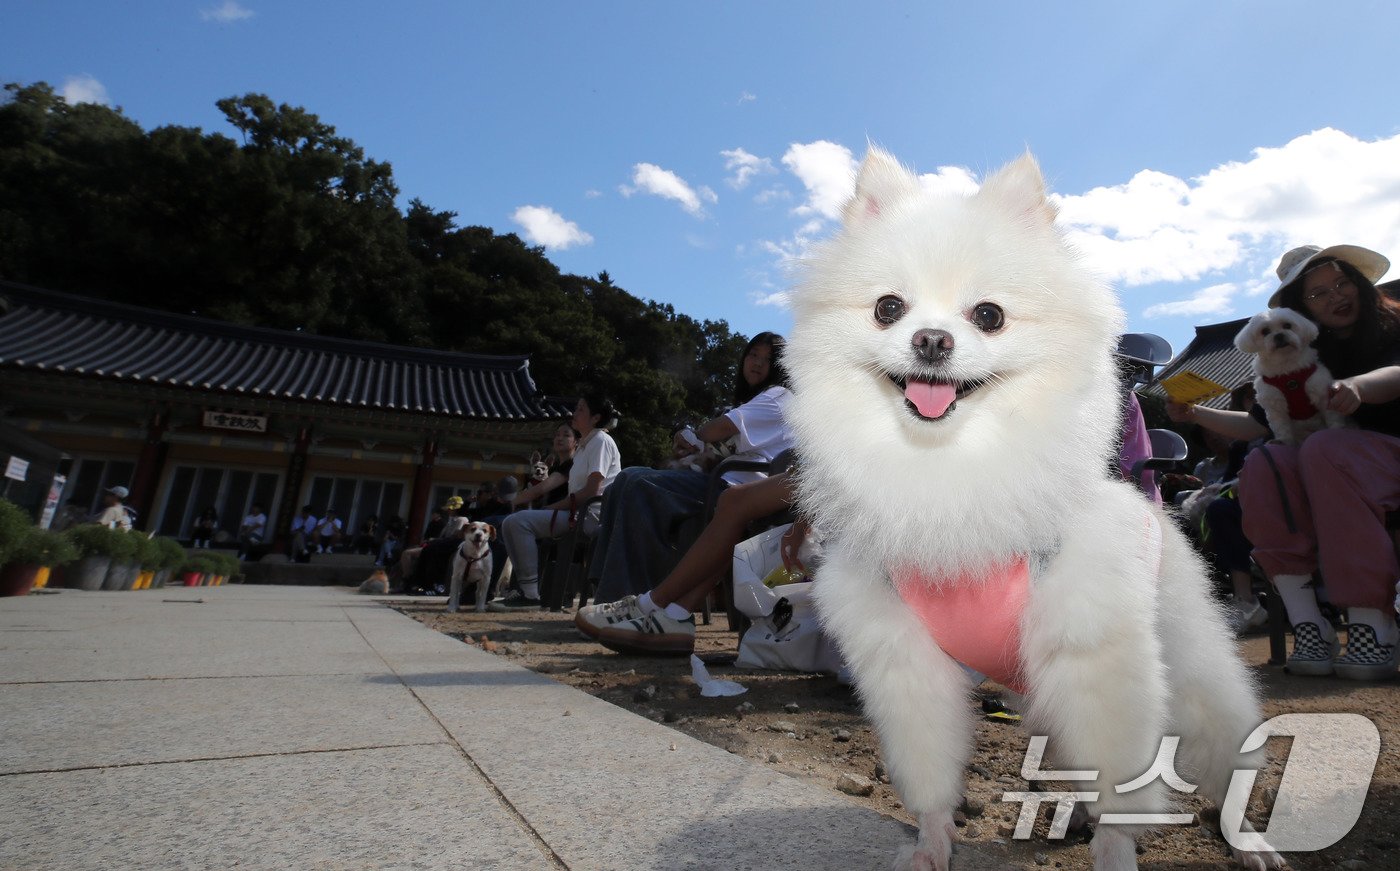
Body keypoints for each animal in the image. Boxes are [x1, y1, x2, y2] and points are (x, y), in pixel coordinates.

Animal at [784, 149, 1282, 871]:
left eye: (989, 315)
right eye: (887, 307)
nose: (931, 340)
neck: (946, 464)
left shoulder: (1095, 654)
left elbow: (1120, 777)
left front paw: (1114, 851)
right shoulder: (904, 660)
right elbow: (929, 768)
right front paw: (931, 841)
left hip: (1190, 673)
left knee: (1225, 750)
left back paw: (1249, 840)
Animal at [1237, 309, 1344, 448]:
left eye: (1287, 325)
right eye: (1265, 331)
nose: (1279, 335)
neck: (1286, 367)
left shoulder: (1321, 393)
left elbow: (1332, 415)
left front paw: (1337, 429)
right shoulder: (1275, 405)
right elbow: (1281, 426)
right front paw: (1283, 441)